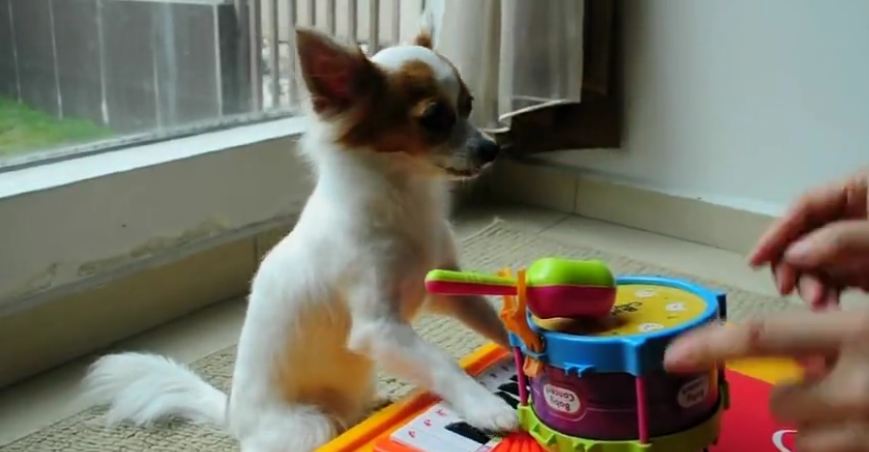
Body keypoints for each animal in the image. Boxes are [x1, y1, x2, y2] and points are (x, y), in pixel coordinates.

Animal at [86, 29, 524, 452]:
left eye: (468, 105)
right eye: (434, 117)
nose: (493, 148)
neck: (405, 196)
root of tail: (231, 413)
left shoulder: (448, 290)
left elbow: (494, 320)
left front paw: (530, 342)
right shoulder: (379, 329)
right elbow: (439, 361)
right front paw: (486, 406)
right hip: (309, 426)